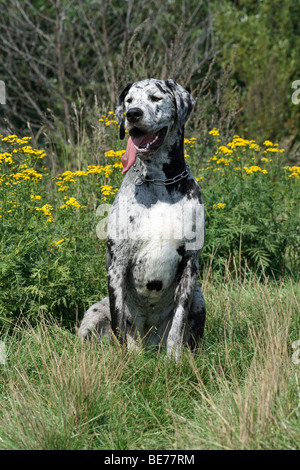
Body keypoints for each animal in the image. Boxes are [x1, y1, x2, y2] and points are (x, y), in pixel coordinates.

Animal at [78, 78, 206, 360]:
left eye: (155, 97)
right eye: (128, 100)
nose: (132, 114)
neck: (160, 184)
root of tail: (149, 343)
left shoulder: (190, 265)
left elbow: (178, 324)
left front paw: (174, 360)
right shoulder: (117, 265)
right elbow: (119, 324)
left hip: (200, 298)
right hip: (94, 313)